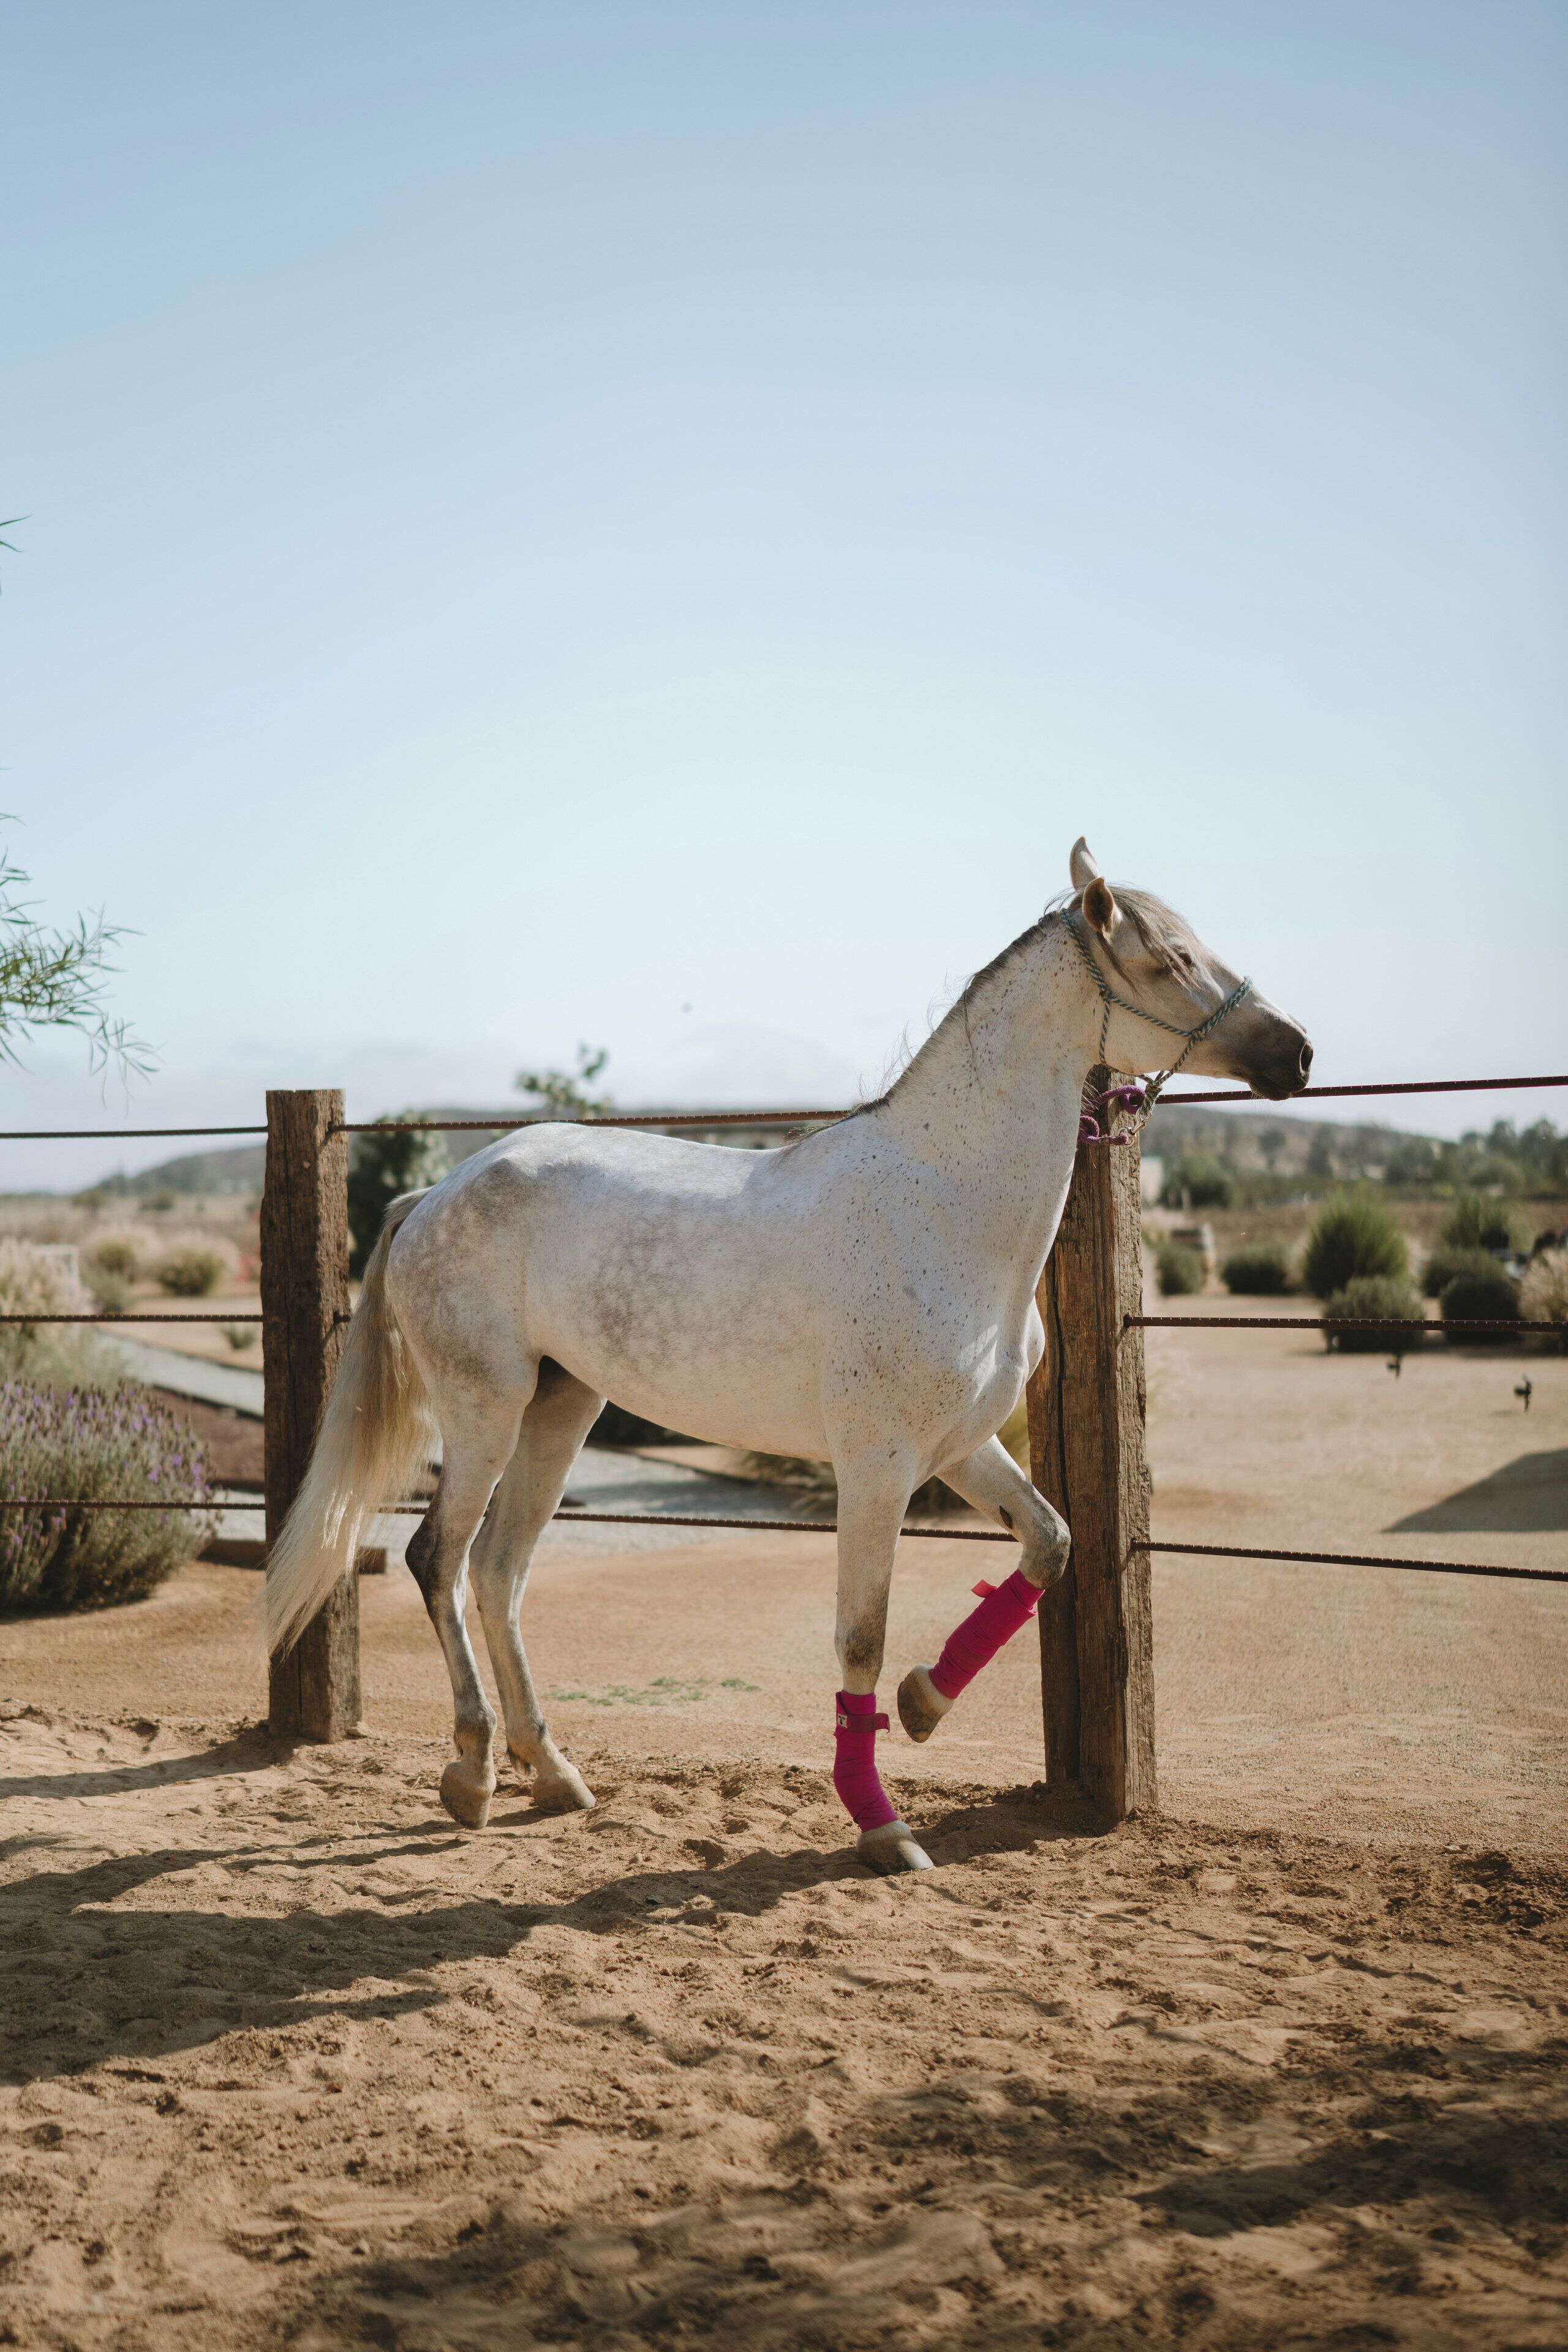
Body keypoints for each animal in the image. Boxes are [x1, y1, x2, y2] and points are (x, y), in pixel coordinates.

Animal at [266, 840, 1311, 1872]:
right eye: (1168, 958)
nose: (1296, 1052)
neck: (943, 1204)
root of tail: (434, 1196)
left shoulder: (959, 1447)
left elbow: (1049, 1545)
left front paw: (926, 1702)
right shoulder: (878, 1466)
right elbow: (861, 1636)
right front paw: (882, 1822)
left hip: (560, 1411)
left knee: (497, 1572)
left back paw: (554, 1774)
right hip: (485, 1411)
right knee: (438, 1561)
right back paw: (475, 1775)